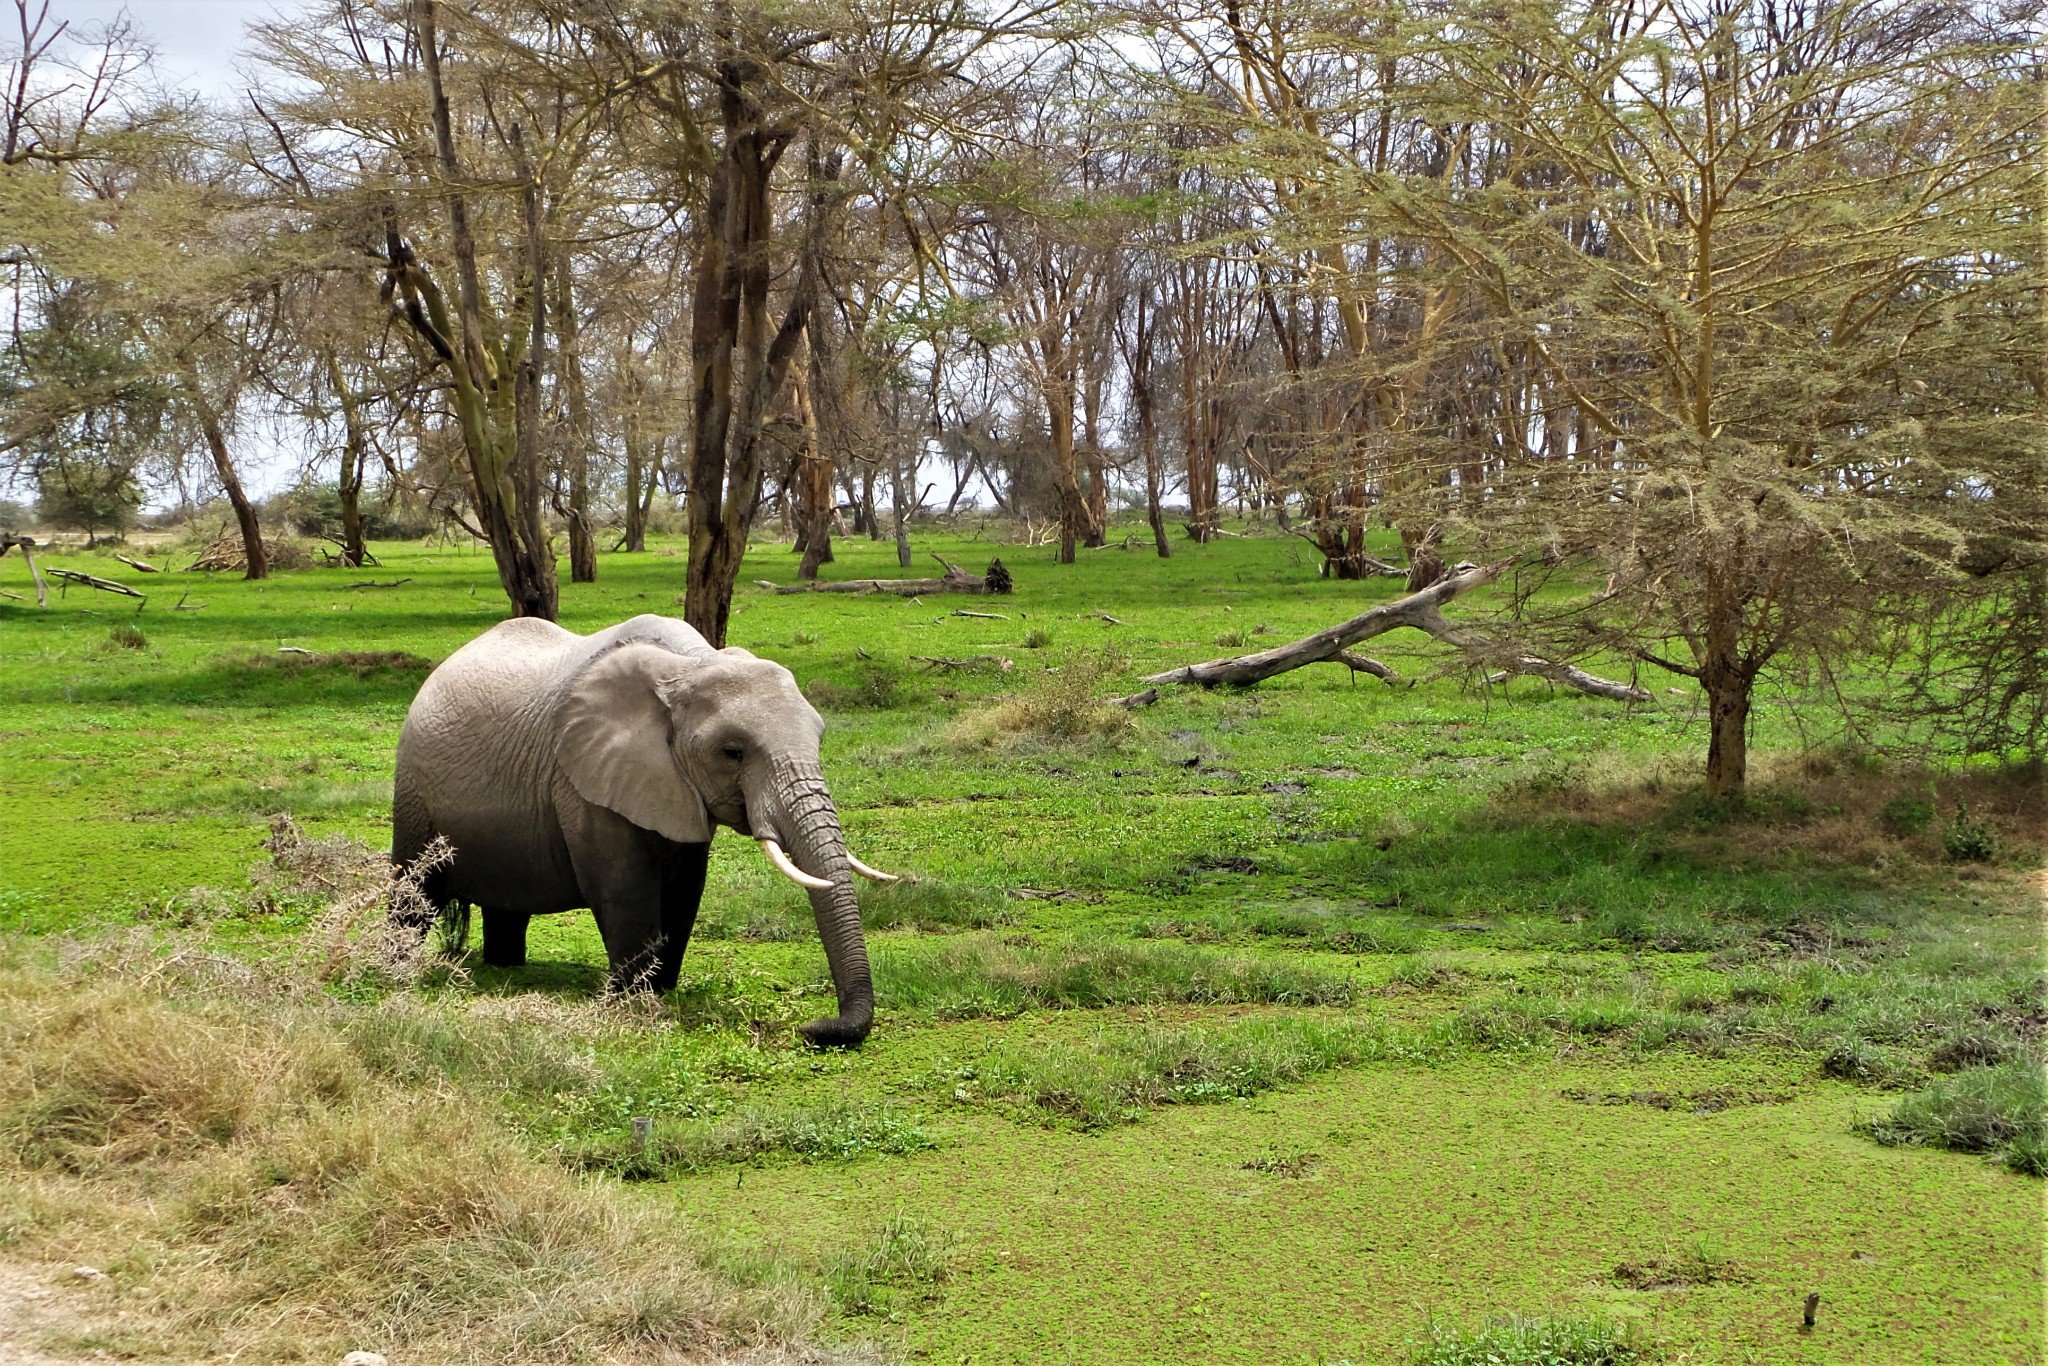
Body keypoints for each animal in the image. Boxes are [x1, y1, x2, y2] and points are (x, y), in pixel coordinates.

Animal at [391, 610, 888, 1048]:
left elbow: (686, 890)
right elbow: (625, 890)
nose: (813, 1028)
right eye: (732, 753)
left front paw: (662, 987)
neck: (690, 664)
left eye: (819, 739)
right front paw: (636, 1000)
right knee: (413, 890)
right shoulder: (584, 781)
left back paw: (506, 966)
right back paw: (399, 967)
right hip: (414, 791)